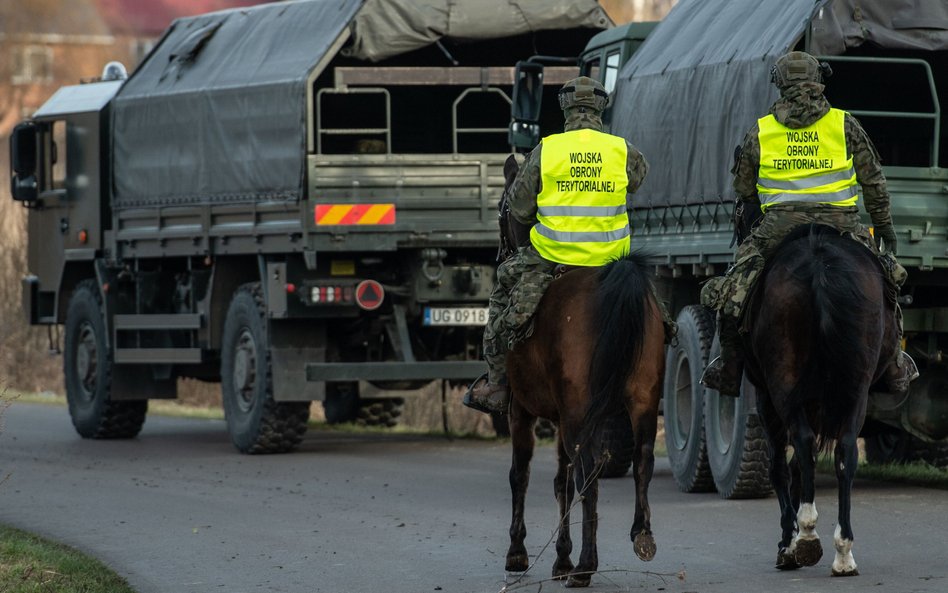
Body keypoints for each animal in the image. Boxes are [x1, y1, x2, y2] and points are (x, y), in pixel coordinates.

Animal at [504, 253, 668, 588]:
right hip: (642, 399)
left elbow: (521, 476)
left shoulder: (521, 410)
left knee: (589, 476)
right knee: (642, 460)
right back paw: (641, 535)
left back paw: (584, 567)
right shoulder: (561, 417)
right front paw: (561, 558)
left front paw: (517, 553)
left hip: (577, 416)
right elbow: (561, 484)